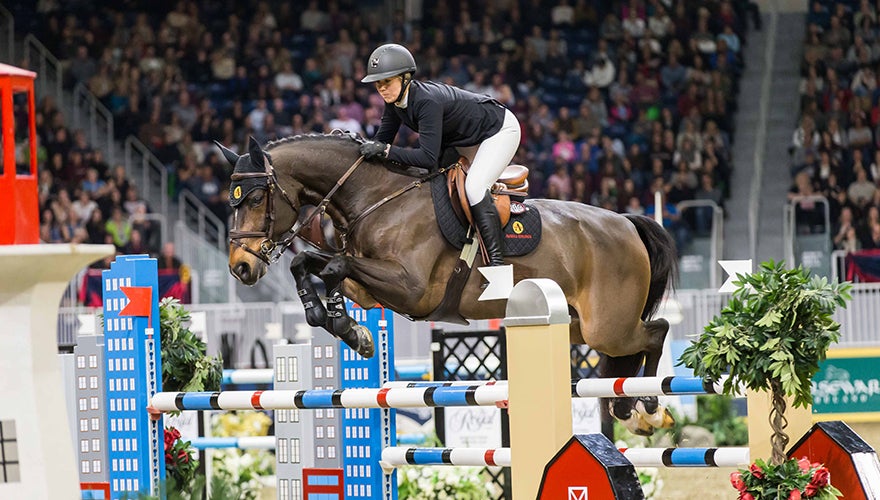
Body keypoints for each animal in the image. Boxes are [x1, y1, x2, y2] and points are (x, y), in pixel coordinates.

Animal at [220, 135, 680, 436]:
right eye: (232, 201)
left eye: (256, 199)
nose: (240, 267)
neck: (377, 198)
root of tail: (626, 223)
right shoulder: (371, 287)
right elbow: (310, 262)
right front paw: (341, 324)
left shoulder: (410, 287)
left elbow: (333, 265)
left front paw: (346, 326)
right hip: (579, 329)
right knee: (625, 355)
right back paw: (627, 408)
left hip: (608, 326)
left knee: (655, 333)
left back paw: (649, 407)